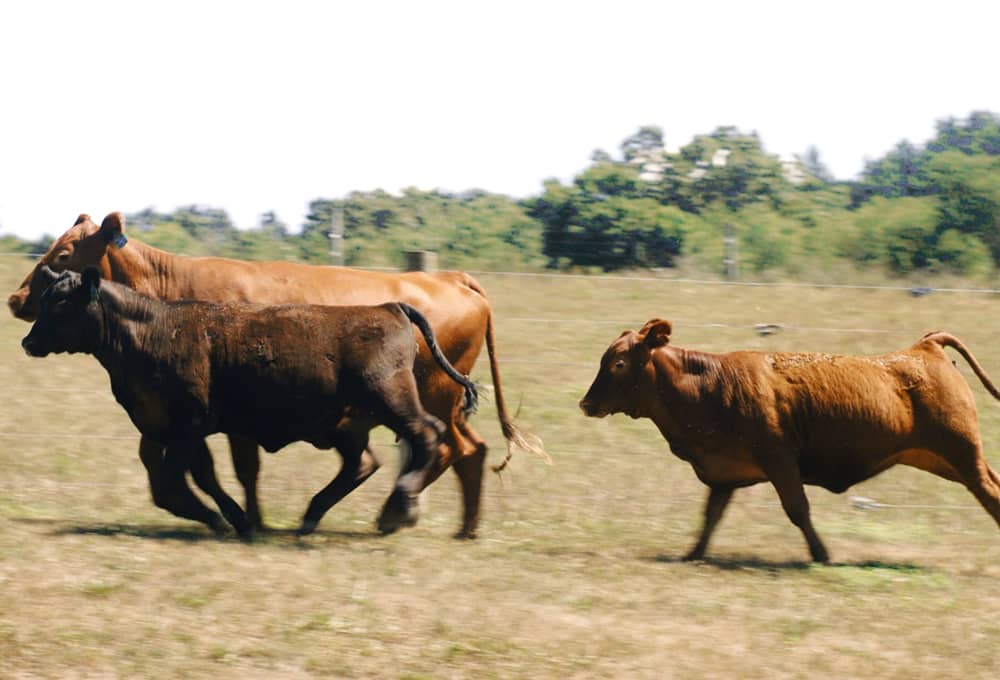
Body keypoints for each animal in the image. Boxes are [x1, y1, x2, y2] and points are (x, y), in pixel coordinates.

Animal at [7, 212, 540, 536]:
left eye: (61, 255)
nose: (15, 300)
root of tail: (448, 278)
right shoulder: (170, 421)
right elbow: (175, 472)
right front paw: (237, 518)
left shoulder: (213, 419)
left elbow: (231, 469)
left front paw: (248, 520)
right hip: (400, 410)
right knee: (458, 451)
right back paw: (446, 524)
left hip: (423, 399)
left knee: (442, 446)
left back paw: (399, 512)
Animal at [580, 318, 1000, 564]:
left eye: (618, 363)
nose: (586, 403)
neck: (711, 386)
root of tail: (924, 347)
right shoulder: (723, 473)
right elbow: (711, 515)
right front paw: (693, 554)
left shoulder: (779, 459)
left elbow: (798, 509)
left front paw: (821, 554)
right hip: (948, 459)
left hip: (962, 454)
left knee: (990, 494)